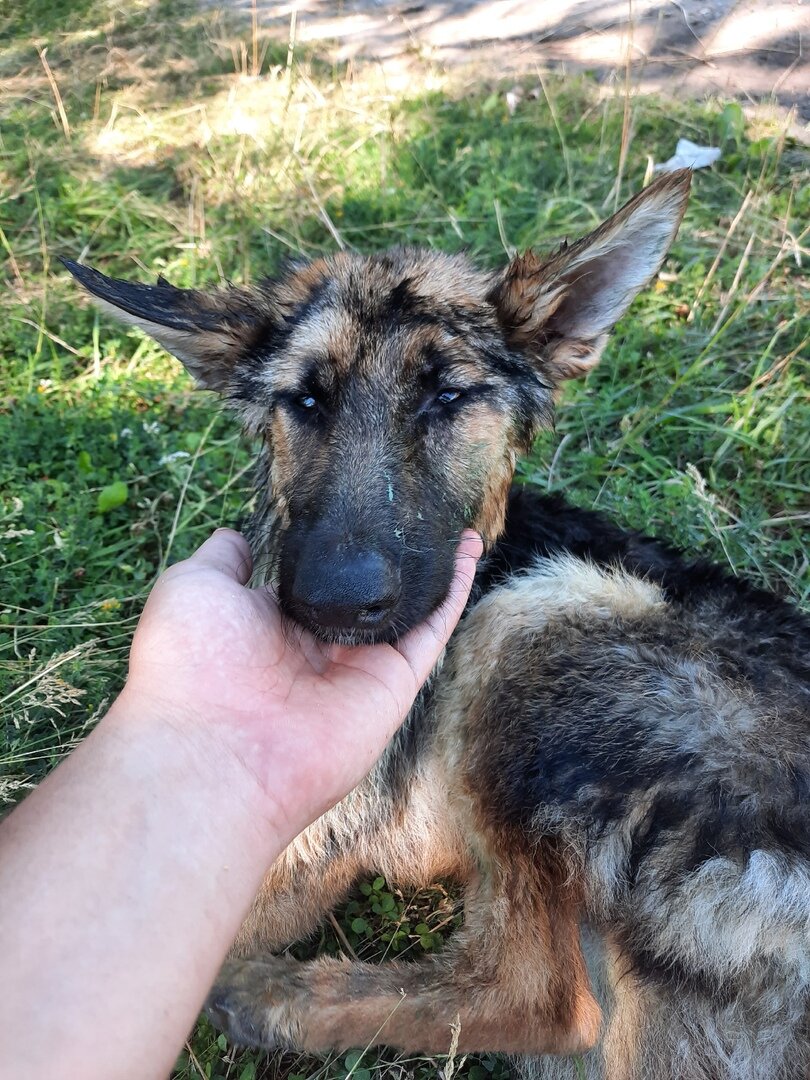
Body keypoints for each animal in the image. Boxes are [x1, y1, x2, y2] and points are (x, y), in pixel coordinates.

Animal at [65, 170, 810, 1080]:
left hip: (531, 614)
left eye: (448, 397)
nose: (334, 602)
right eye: (305, 399)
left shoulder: (312, 850)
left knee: (543, 999)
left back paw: (271, 998)